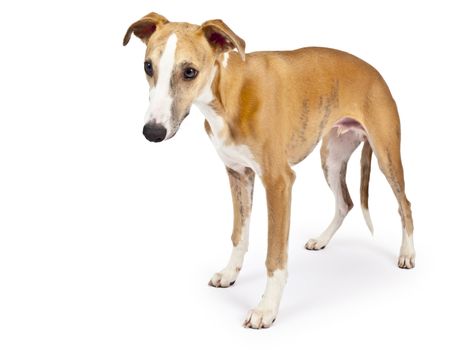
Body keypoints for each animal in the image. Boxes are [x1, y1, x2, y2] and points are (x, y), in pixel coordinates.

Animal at [123, 12, 416, 330]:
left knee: (404, 204)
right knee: (346, 202)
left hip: (386, 155)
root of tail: (375, 71)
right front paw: (230, 273)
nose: (152, 132)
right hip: (331, 157)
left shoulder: (279, 182)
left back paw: (407, 253)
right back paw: (322, 240)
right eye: (148, 66)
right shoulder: (238, 174)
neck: (230, 93)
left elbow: (274, 256)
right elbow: (239, 234)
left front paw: (266, 309)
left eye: (189, 72)